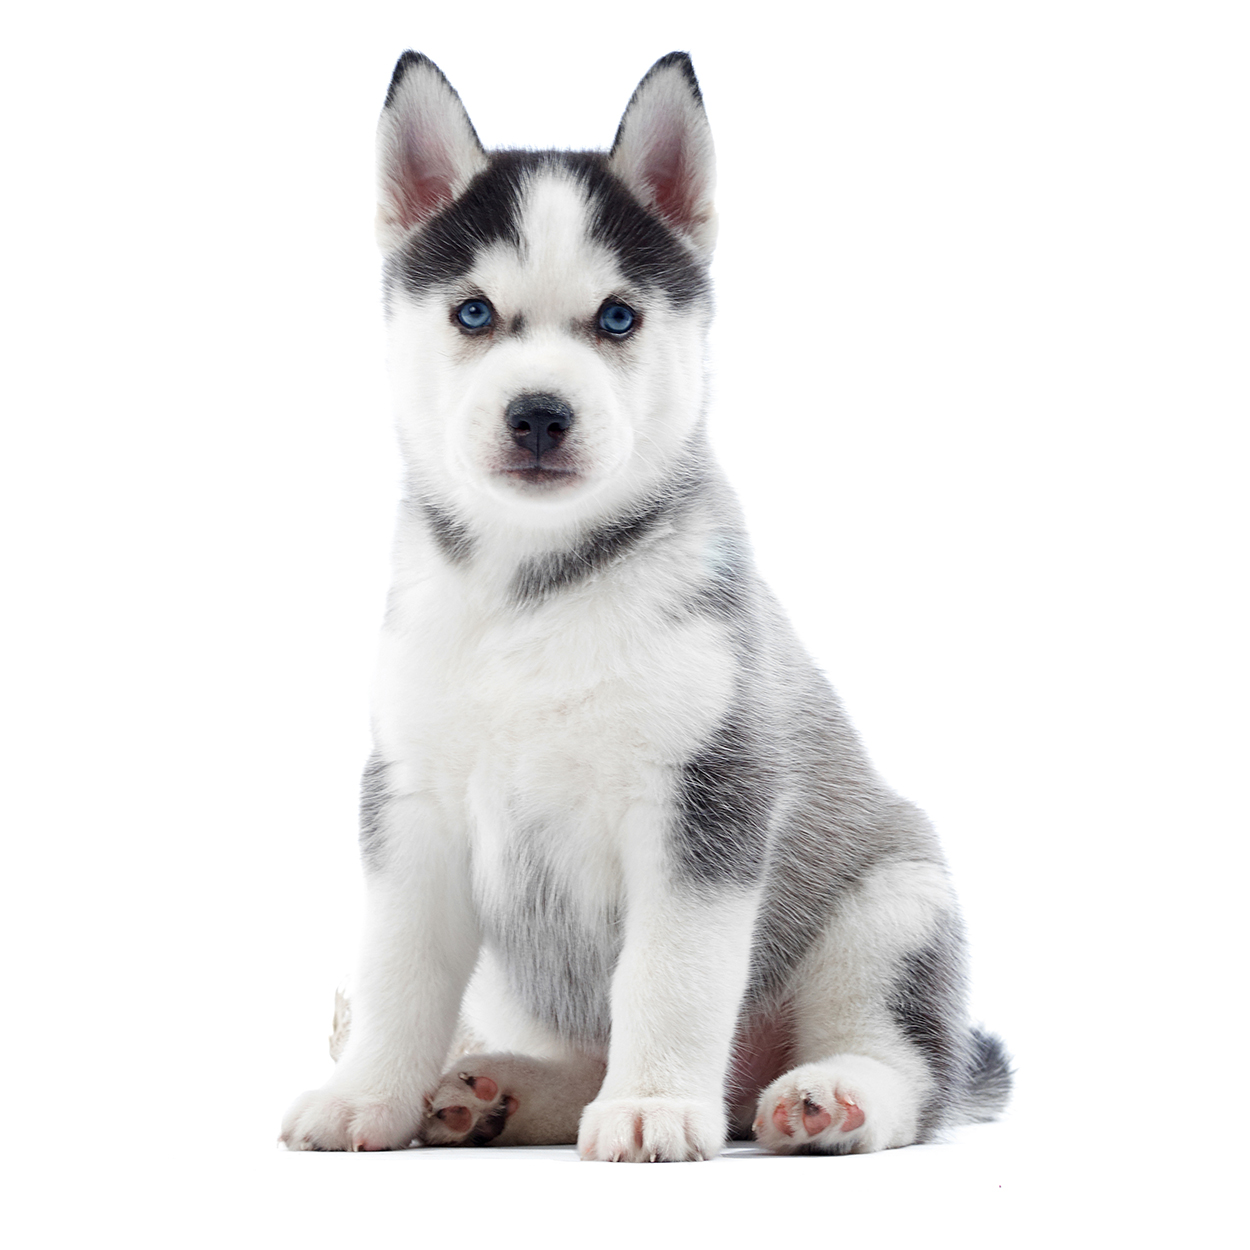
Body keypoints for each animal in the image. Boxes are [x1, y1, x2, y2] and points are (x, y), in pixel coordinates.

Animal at [278, 48, 1010, 1160]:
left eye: (617, 316)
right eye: (473, 313)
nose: (539, 412)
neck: (534, 589)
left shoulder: (703, 799)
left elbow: (669, 976)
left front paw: (655, 1104)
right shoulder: (412, 801)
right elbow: (398, 968)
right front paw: (367, 1095)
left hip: (896, 906)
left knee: (909, 1069)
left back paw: (825, 1097)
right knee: (572, 1049)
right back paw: (490, 1091)